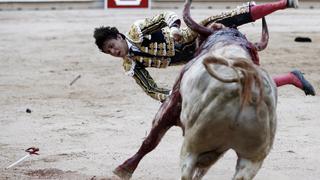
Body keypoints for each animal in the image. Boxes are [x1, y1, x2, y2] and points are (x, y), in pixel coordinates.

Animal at [114, 0, 276, 179]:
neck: (229, 44)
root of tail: (244, 81)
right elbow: (203, 167)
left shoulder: (171, 103)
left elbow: (151, 140)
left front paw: (124, 169)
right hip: (252, 159)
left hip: (192, 145)